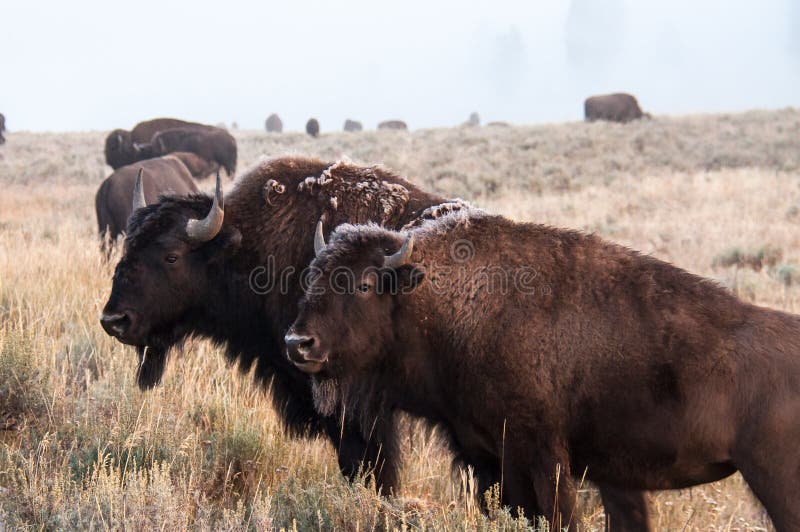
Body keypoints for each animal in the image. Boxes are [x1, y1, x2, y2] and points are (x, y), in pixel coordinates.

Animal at [288, 211, 800, 531]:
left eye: (365, 283)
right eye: (312, 276)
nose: (298, 344)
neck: (435, 303)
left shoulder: (536, 454)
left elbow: (554, 516)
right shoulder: (482, 454)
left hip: (775, 480)